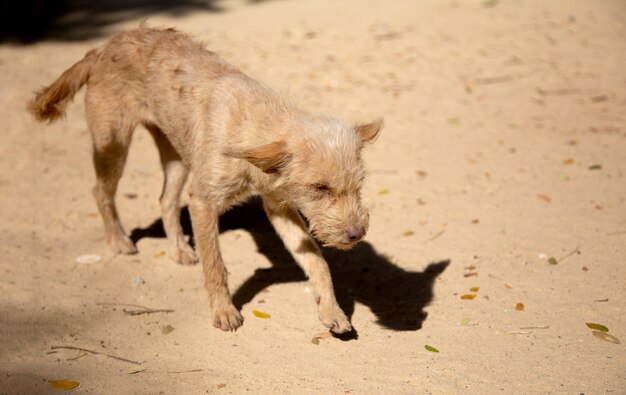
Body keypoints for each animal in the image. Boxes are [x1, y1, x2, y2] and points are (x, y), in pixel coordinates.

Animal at [29, 26, 382, 332]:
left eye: (360, 185)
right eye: (319, 188)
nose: (357, 233)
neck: (251, 127)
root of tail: (103, 47)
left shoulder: (278, 205)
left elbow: (317, 261)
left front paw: (331, 311)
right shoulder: (203, 202)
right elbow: (215, 266)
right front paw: (223, 311)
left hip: (176, 156)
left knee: (165, 200)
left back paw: (179, 249)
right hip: (113, 145)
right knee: (101, 192)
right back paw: (118, 241)